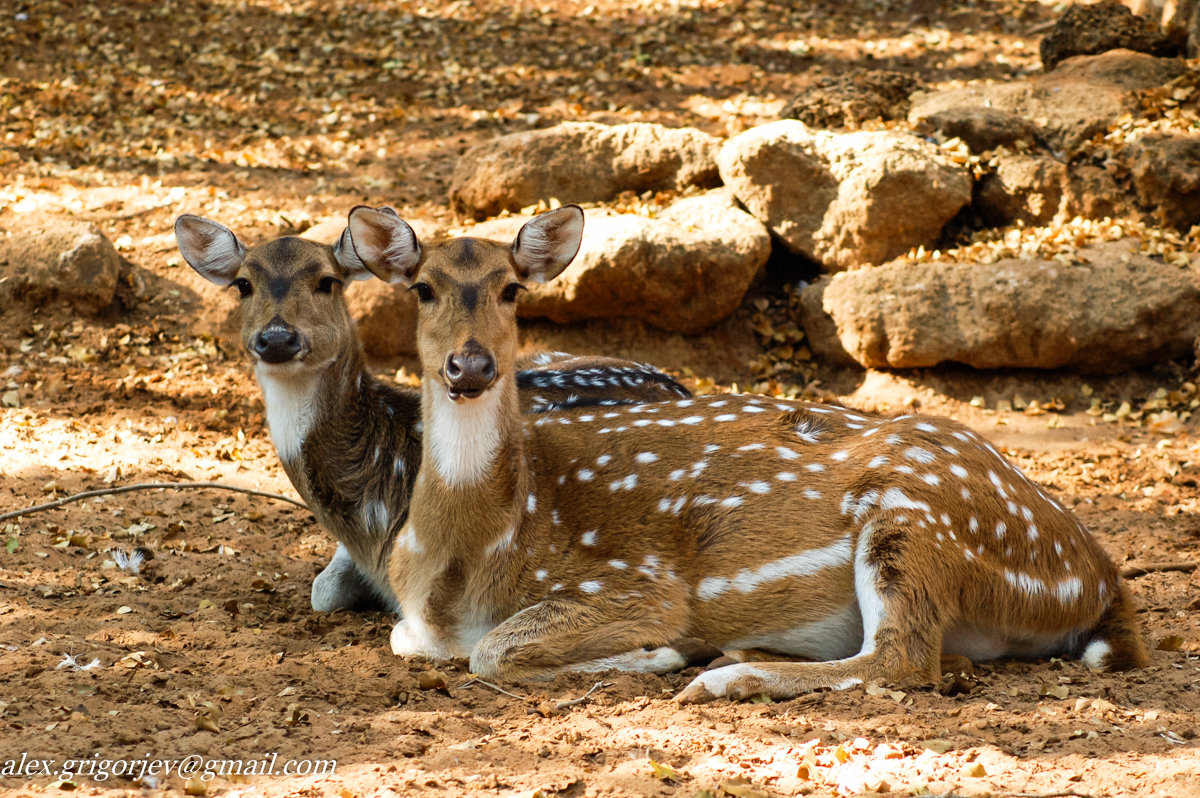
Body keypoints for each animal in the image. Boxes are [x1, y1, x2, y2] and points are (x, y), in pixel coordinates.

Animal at [343, 202, 1147, 700]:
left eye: (512, 289)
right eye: (421, 288)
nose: (470, 366)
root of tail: (1100, 580)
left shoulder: (634, 583)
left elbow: (491, 651)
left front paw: (660, 654)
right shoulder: (416, 616)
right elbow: (410, 639)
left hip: (912, 515)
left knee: (905, 658)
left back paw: (724, 675)